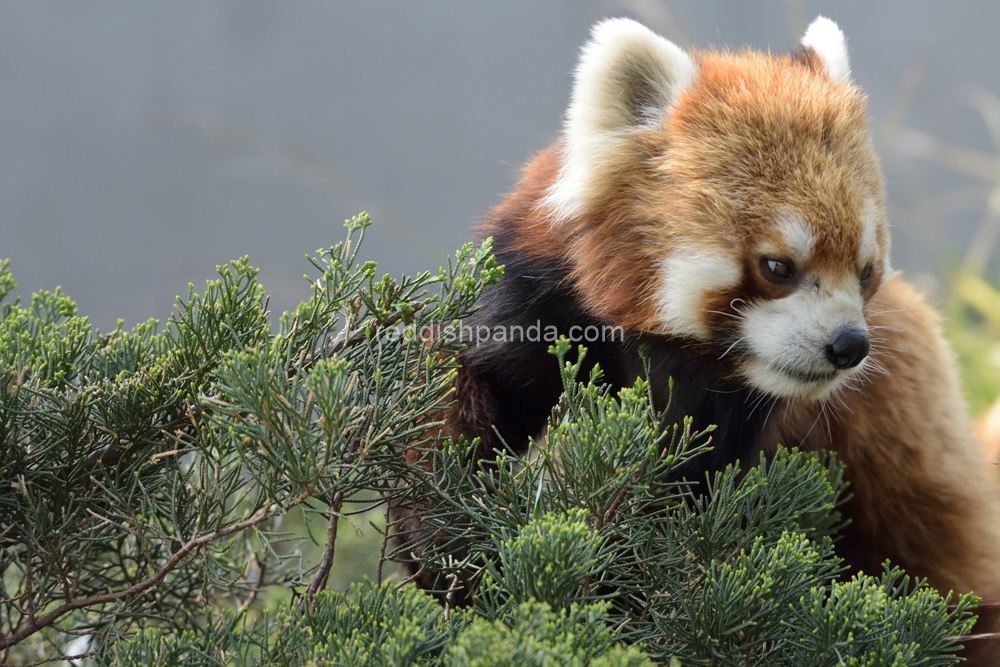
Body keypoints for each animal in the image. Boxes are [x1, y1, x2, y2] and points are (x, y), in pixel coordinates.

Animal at [424, 15, 1000, 664]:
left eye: (865, 271)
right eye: (778, 267)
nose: (849, 345)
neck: (677, 357)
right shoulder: (536, 300)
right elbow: (465, 395)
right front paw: (445, 543)